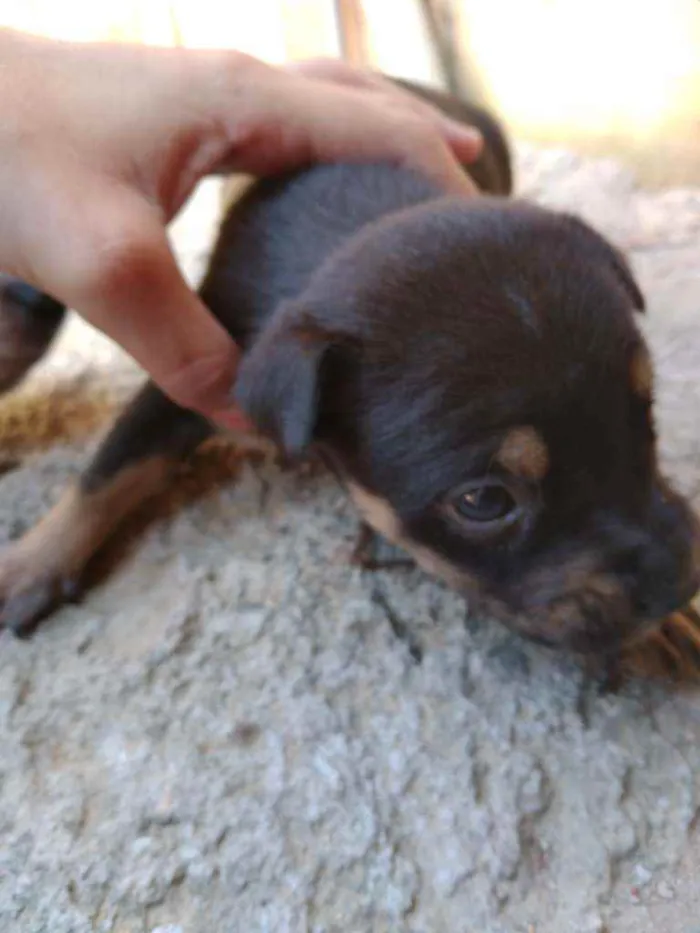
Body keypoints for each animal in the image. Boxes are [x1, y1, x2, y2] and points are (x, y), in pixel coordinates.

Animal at [0, 76, 696, 668]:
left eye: (645, 417)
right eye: (483, 501)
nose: (677, 584)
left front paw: (674, 625)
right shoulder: (188, 373)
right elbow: (112, 467)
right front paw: (28, 564)